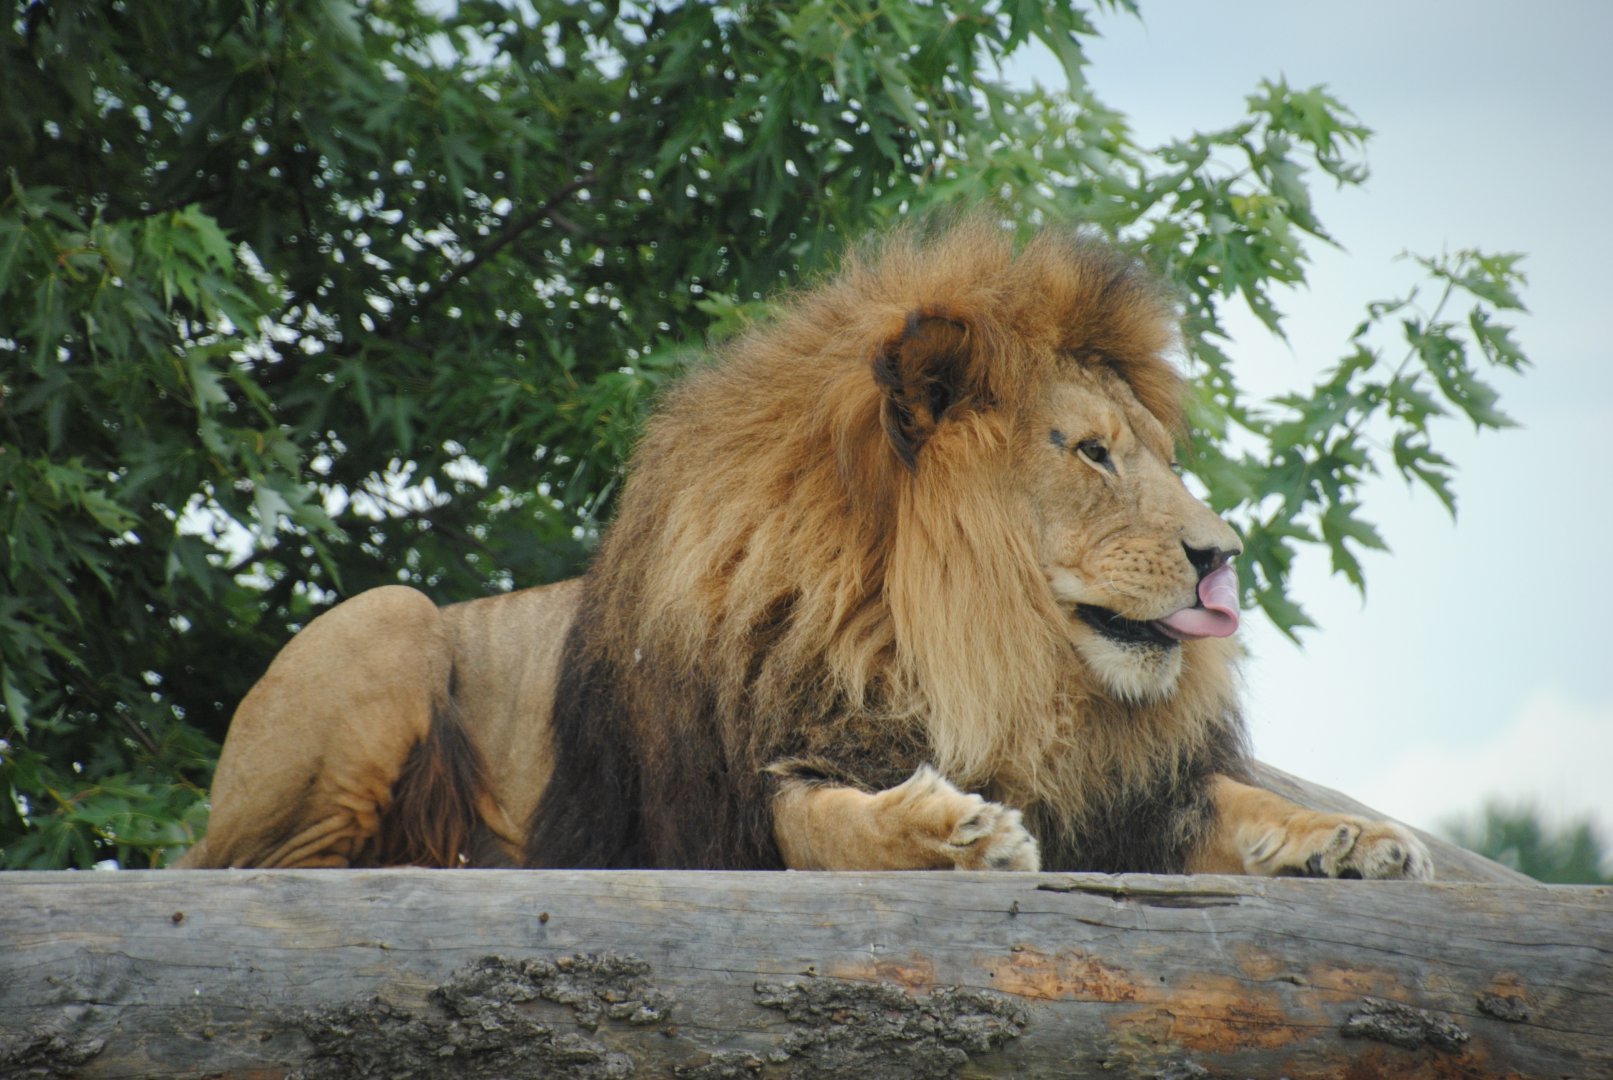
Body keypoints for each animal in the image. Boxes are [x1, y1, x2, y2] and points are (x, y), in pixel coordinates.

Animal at [179, 220, 1431, 881]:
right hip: (384, 617)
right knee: (273, 867)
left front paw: (1349, 837)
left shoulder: (1122, 805)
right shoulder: (729, 798)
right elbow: (830, 820)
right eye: (1088, 452)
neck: (987, 658)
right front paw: (949, 828)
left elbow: (1236, 805)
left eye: (1160, 455)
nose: (1223, 557)